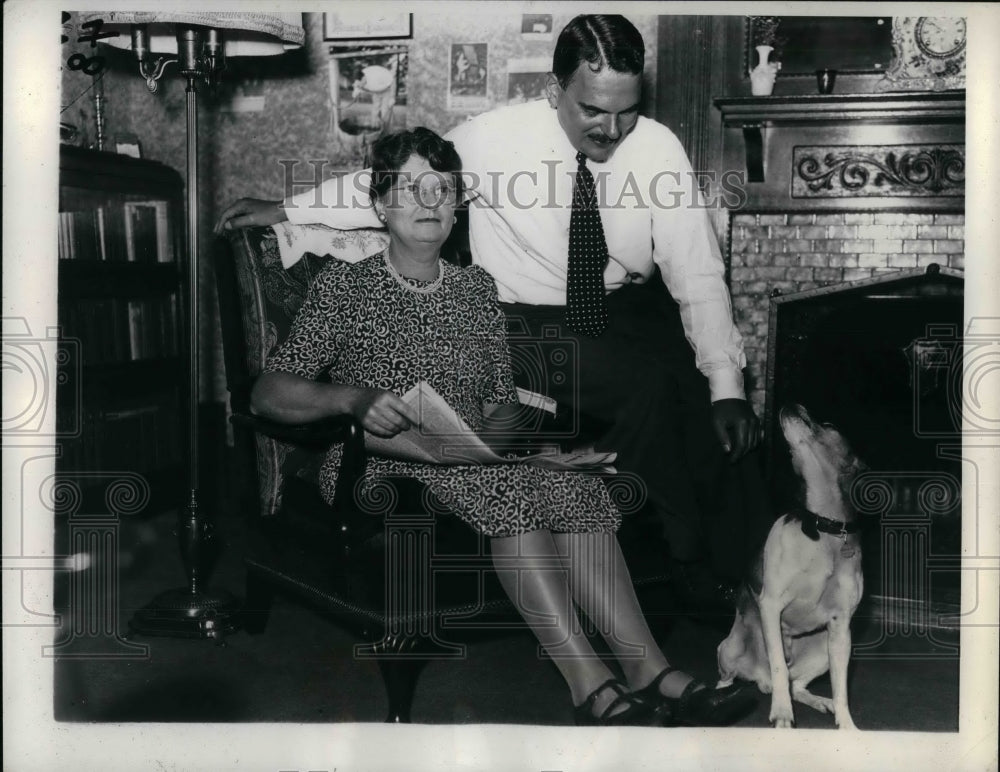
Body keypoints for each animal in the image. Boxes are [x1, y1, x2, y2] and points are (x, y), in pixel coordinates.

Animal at [720, 404, 868, 728]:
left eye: (829, 424)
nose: (791, 405)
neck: (824, 529)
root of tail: (758, 678)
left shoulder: (841, 627)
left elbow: (841, 690)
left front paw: (846, 725)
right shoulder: (771, 605)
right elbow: (778, 665)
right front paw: (782, 714)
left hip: (824, 649)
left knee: (796, 684)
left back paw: (821, 702)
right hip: (728, 649)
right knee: (743, 678)